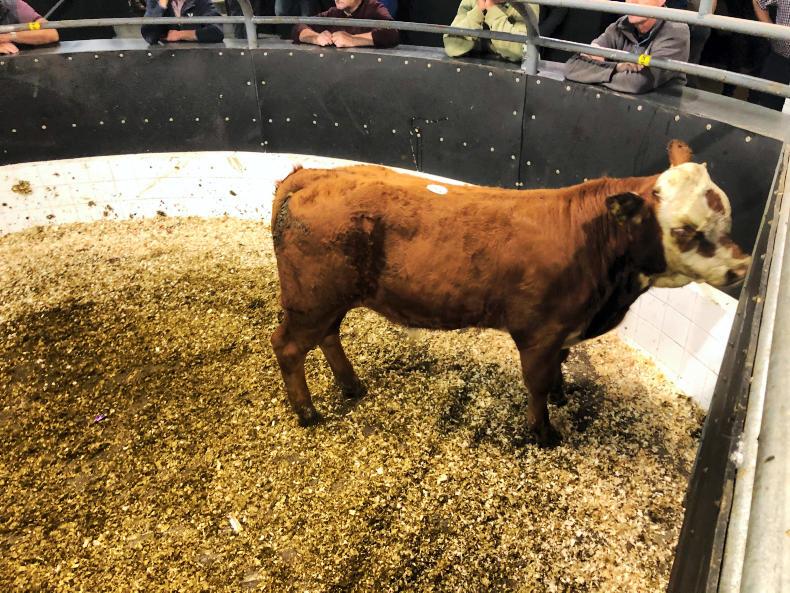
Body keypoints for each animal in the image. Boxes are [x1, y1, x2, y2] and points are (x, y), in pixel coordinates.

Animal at [269, 140, 750, 446]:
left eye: (726, 216)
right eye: (686, 230)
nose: (741, 267)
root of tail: (311, 175)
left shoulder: (563, 331)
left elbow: (558, 370)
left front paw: (561, 393)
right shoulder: (540, 332)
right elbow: (536, 385)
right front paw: (544, 433)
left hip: (328, 298)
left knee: (328, 336)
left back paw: (351, 386)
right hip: (310, 299)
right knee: (288, 346)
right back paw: (307, 413)